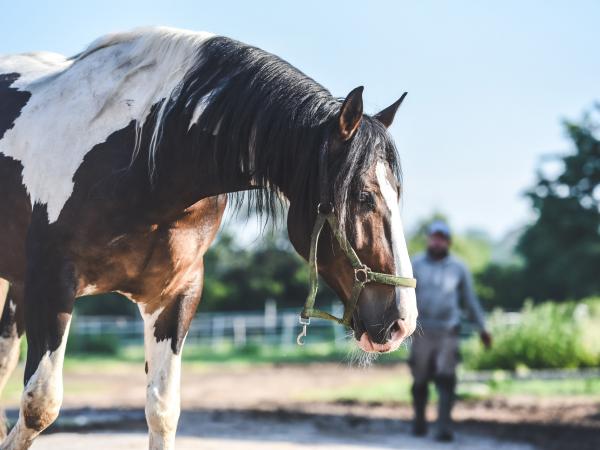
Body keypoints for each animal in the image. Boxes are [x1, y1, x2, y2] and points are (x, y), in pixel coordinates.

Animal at [1, 28, 418, 450]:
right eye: (363, 196)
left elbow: (163, 411)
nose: (402, 322)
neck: (143, 160)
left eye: (396, 192)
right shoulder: (52, 285)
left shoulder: (176, 295)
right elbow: (40, 405)